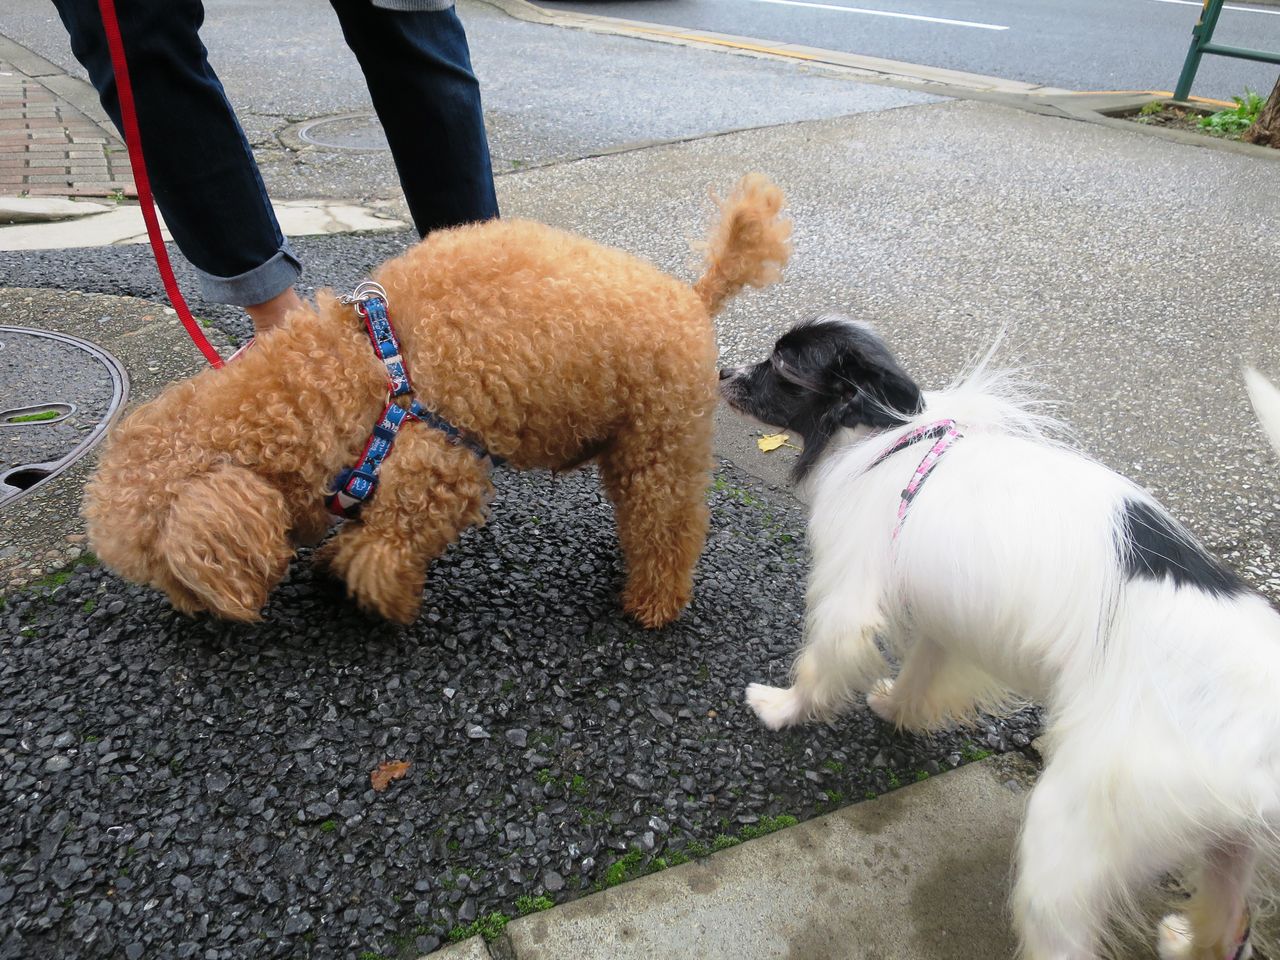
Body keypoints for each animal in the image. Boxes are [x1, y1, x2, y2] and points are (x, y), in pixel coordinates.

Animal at [84, 174, 791, 627]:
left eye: (166, 570)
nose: (192, 613)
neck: (338, 380)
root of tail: (693, 296)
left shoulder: (437, 467)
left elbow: (384, 549)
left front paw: (383, 599)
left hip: (660, 441)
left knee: (670, 525)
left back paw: (654, 603)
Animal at [721, 316, 1278, 960]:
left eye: (781, 366)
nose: (722, 372)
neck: (890, 432)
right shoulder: (942, 614)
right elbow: (923, 666)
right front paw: (896, 708)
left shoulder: (849, 597)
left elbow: (820, 663)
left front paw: (781, 708)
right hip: (1226, 839)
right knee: (1229, 921)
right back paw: (1187, 940)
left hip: (1072, 831)